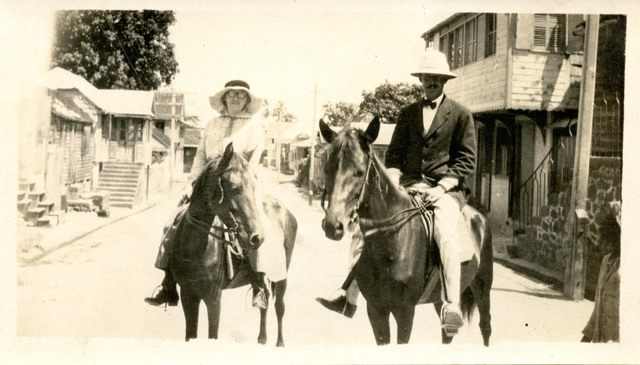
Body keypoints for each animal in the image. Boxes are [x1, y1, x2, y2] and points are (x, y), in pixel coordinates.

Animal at [170, 143, 300, 344]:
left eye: (254, 186)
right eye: (234, 187)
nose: (257, 238)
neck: (196, 249)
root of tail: (285, 211)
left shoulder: (213, 299)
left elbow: (212, 335)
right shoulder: (188, 295)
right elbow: (190, 334)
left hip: (282, 276)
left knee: (279, 307)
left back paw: (279, 343)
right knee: (265, 302)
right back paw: (262, 338)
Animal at [320, 116, 496, 344]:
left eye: (359, 172)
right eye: (327, 168)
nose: (333, 225)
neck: (393, 241)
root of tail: (479, 216)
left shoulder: (405, 311)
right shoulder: (376, 309)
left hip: (482, 287)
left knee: (486, 326)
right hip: (440, 298)